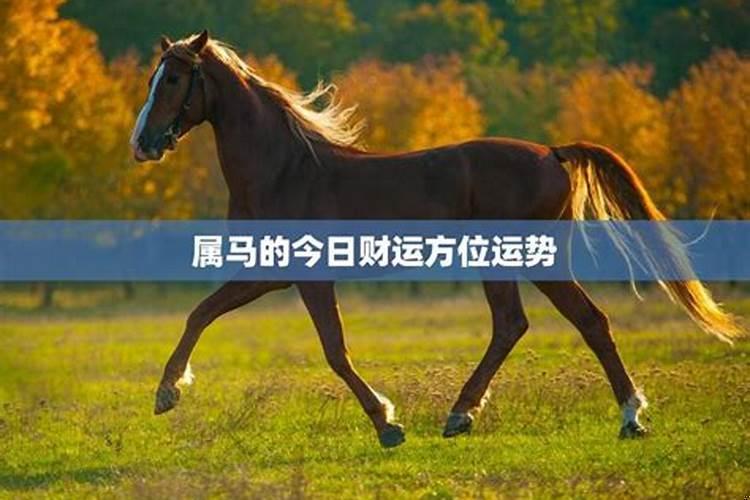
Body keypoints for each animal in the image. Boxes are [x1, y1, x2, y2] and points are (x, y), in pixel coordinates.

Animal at [130, 31, 742, 448]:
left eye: (174, 79)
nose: (142, 144)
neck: (284, 169)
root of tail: (553, 152)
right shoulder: (269, 272)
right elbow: (202, 313)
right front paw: (168, 392)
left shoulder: (306, 277)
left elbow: (333, 350)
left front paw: (387, 424)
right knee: (539, 324)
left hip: (522, 261)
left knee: (559, 323)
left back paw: (606, 416)